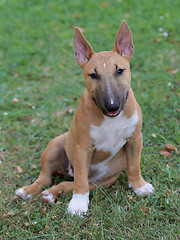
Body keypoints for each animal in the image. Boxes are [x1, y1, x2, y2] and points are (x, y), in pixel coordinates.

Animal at [15, 21, 154, 216]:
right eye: (93, 75)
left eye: (120, 70)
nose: (112, 106)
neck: (110, 119)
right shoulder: (83, 147)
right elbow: (80, 180)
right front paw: (78, 204)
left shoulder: (135, 138)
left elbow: (134, 164)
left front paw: (139, 186)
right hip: (55, 145)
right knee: (48, 177)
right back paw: (28, 190)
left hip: (102, 182)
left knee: (68, 183)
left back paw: (51, 194)